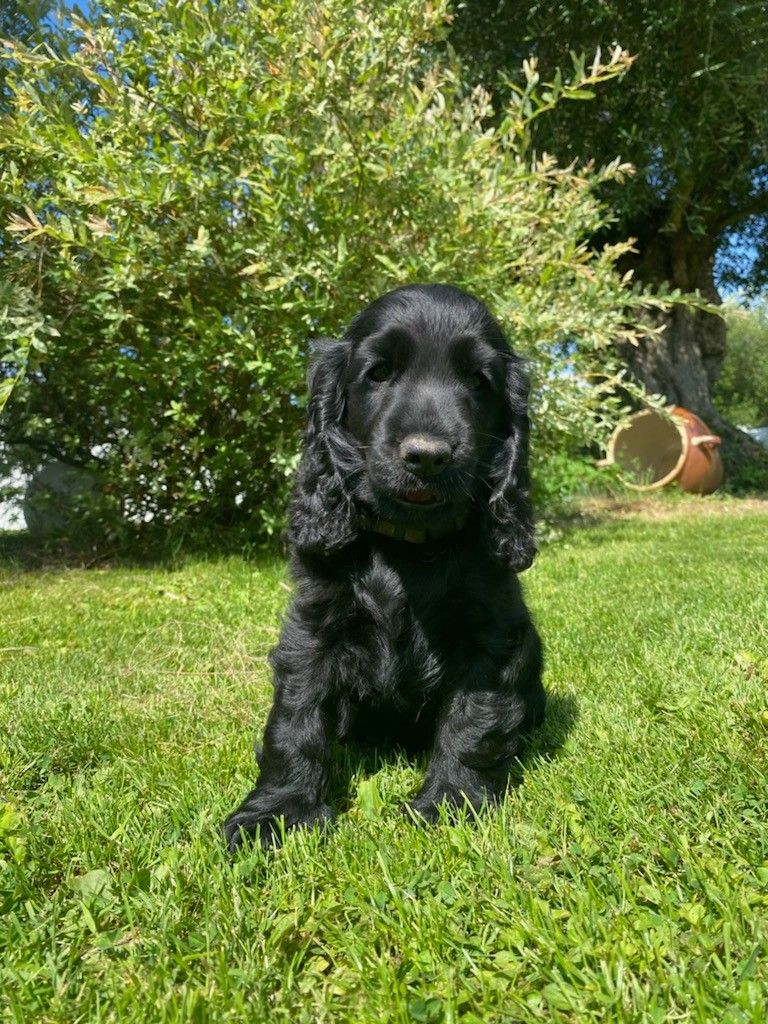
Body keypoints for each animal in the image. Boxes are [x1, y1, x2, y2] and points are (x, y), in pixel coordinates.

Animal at [222, 284, 548, 851]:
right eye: (378, 374)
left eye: (477, 382)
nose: (428, 455)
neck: (409, 548)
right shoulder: (314, 626)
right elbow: (295, 718)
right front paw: (276, 811)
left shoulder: (491, 635)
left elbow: (473, 719)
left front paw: (452, 802)